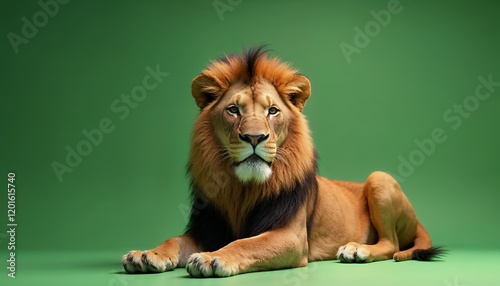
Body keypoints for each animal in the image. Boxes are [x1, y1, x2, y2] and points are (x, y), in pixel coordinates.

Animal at [123, 46, 444, 278]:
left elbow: (246, 242)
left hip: (380, 178)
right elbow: (174, 240)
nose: (254, 137)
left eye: (273, 110)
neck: (242, 190)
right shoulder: (207, 228)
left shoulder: (291, 237)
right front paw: (145, 255)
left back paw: (357, 251)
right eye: (233, 110)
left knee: (391, 244)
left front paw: (213, 257)